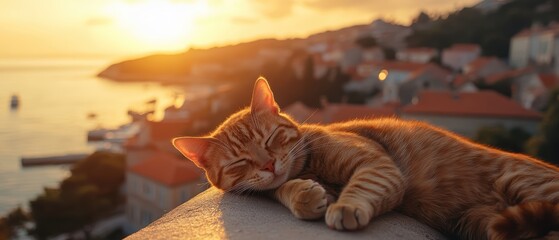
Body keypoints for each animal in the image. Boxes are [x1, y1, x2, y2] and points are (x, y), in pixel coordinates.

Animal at [174, 78, 559, 239]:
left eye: (270, 139)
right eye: (240, 163)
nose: (269, 165)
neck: (310, 165)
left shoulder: (377, 165)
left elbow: (361, 186)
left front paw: (344, 206)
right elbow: (281, 190)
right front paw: (303, 194)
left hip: (521, 182)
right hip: (485, 224)